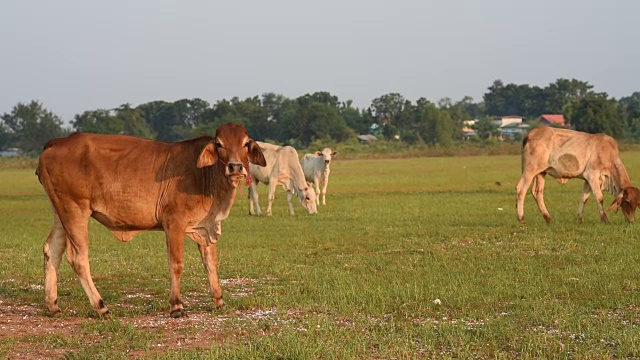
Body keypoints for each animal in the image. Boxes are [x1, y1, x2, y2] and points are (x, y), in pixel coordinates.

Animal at [36, 124, 266, 318]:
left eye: (245, 143)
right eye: (219, 144)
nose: (235, 167)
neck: (204, 175)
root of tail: (58, 142)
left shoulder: (204, 228)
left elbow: (210, 262)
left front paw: (219, 301)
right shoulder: (174, 223)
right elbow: (176, 264)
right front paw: (176, 306)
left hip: (60, 211)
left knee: (52, 250)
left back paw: (53, 305)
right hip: (75, 210)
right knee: (78, 258)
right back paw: (101, 306)